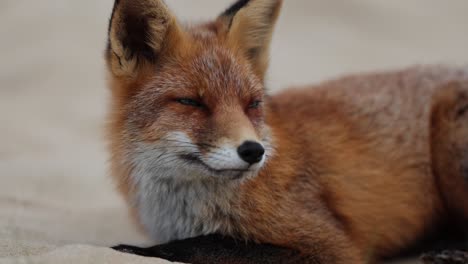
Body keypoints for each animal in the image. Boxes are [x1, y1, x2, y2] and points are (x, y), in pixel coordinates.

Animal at [105, 0, 468, 264]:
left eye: (252, 103)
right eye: (192, 102)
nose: (253, 151)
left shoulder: (331, 245)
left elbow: (212, 246)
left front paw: (139, 251)